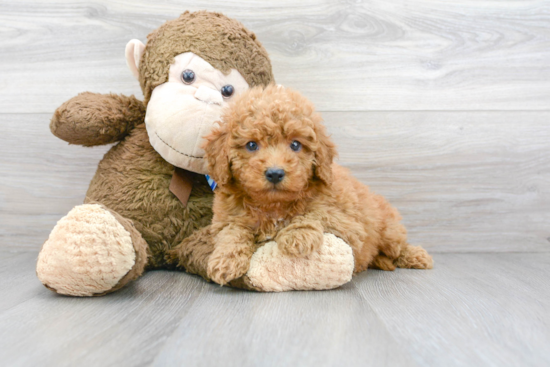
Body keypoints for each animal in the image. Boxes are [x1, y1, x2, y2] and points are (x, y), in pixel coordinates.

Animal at [204, 85, 436, 286]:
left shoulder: (347, 223)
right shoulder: (225, 219)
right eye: (252, 145)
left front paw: (298, 235)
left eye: (295, 144)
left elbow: (316, 212)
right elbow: (233, 232)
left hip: (389, 231)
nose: (275, 173)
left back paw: (417, 256)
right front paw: (225, 261)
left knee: (398, 247)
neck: (273, 205)